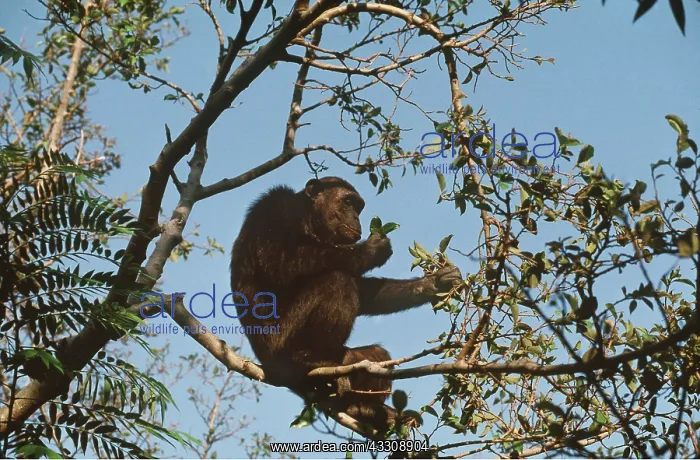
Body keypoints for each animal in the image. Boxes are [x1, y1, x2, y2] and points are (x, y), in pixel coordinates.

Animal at [229, 176, 462, 432]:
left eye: (358, 207)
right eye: (348, 202)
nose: (356, 217)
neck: (309, 219)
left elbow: (364, 291)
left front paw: (435, 284)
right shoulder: (274, 207)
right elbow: (278, 259)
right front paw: (371, 250)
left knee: (376, 355)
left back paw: (363, 408)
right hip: (279, 345)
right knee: (336, 280)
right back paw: (307, 360)